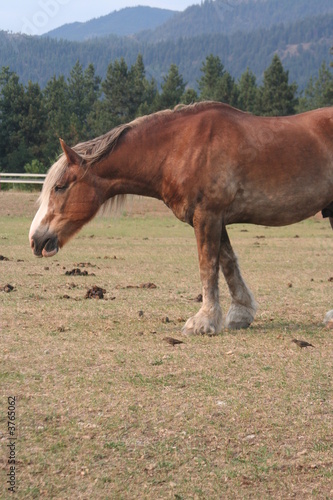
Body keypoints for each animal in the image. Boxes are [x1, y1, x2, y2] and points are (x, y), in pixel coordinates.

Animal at [28, 101, 332, 336]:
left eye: (59, 187)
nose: (35, 239)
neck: (181, 148)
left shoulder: (207, 215)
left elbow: (208, 266)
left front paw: (203, 322)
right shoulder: (215, 218)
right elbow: (227, 263)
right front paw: (240, 314)